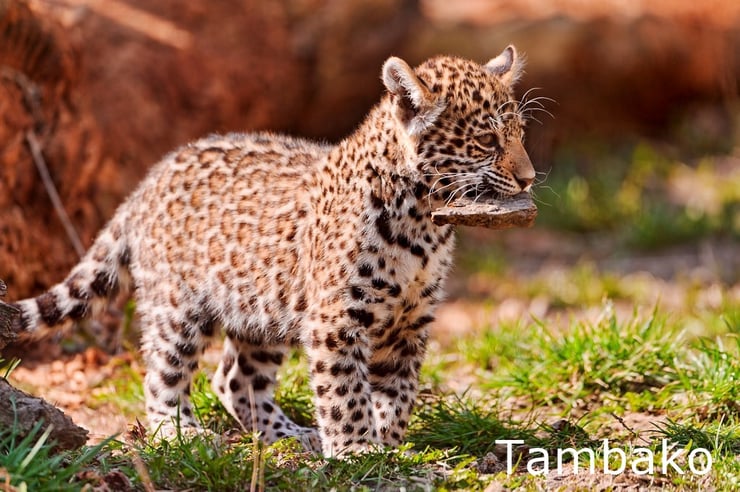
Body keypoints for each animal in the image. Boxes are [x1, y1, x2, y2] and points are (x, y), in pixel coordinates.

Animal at [3, 45, 536, 457]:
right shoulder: (336, 319)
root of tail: (150, 180)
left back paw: (290, 435)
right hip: (177, 307)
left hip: (261, 308)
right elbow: (345, 390)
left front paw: (387, 441)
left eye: (520, 135)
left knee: (234, 379)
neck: (423, 225)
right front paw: (357, 451)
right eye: (487, 140)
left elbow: (399, 390)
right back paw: (181, 434)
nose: (530, 179)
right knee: (162, 376)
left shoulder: (410, 320)